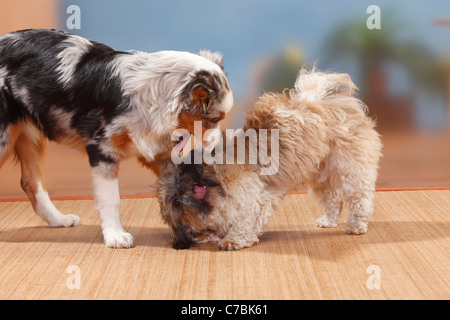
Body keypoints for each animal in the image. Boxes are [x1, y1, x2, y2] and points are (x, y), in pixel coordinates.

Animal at [0, 29, 232, 248]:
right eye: (212, 119)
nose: (216, 148)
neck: (155, 96)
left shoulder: (158, 152)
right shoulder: (102, 149)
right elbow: (111, 199)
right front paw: (116, 236)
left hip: (29, 135)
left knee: (31, 182)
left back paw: (59, 219)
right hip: (4, 137)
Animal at [156, 69, 382, 251]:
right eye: (176, 201)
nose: (183, 188)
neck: (219, 176)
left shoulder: (254, 199)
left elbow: (243, 223)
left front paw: (233, 239)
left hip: (352, 171)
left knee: (360, 199)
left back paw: (357, 225)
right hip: (321, 177)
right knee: (334, 199)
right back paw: (329, 220)